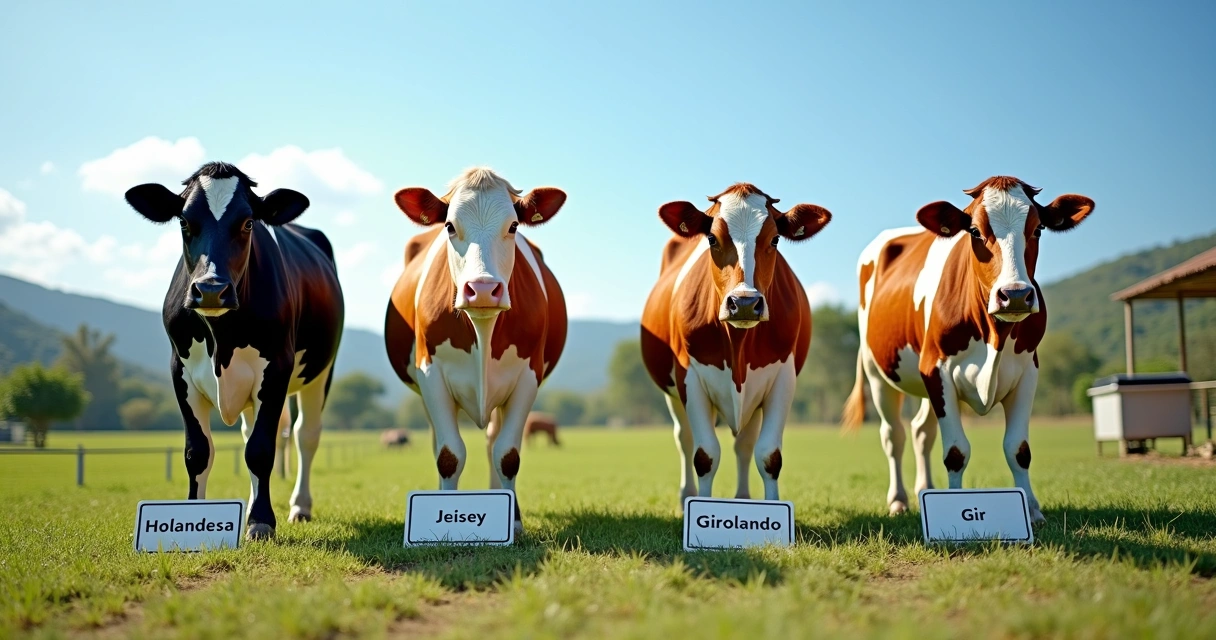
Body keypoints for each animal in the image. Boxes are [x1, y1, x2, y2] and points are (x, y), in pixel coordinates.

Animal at [124, 162, 344, 540]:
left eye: (248, 222)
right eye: (184, 221)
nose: (211, 289)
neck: (221, 340)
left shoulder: (277, 369)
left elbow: (261, 450)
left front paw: (261, 521)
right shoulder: (179, 371)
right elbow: (198, 452)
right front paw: (193, 522)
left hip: (321, 370)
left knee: (305, 435)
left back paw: (299, 506)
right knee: (250, 432)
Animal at [385, 167, 567, 534]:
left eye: (513, 226)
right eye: (449, 226)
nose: (482, 289)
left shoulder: (529, 376)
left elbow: (507, 455)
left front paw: (513, 522)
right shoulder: (430, 374)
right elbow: (448, 455)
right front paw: (443, 517)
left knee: (492, 441)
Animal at [641, 183, 831, 504]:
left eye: (775, 239)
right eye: (712, 238)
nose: (743, 303)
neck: (738, 345)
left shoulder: (783, 377)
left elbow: (769, 455)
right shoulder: (689, 377)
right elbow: (705, 455)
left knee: (744, 443)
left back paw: (742, 497)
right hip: (673, 392)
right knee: (684, 438)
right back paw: (686, 494)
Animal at [842, 176, 1094, 523]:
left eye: (1038, 229)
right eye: (974, 231)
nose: (1015, 294)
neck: (994, 338)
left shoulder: (1027, 372)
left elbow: (1019, 449)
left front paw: (1032, 509)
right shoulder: (937, 370)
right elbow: (955, 452)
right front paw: (953, 509)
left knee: (921, 431)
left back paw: (925, 490)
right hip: (877, 372)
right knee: (894, 435)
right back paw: (898, 500)